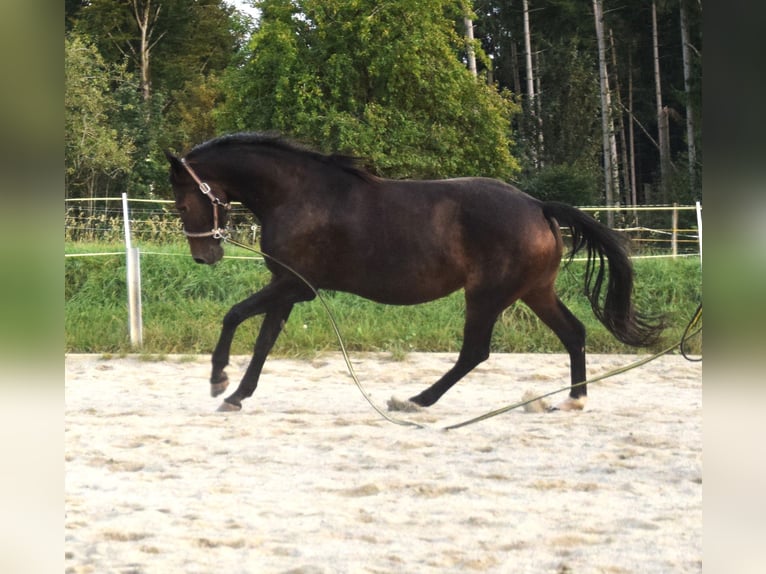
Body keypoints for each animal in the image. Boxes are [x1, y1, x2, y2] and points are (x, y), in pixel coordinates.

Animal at [164, 132, 663, 413]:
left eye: (182, 203)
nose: (205, 256)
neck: (297, 195)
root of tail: (538, 205)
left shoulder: (294, 285)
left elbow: (234, 315)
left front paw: (218, 380)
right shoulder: (287, 287)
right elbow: (264, 341)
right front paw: (237, 395)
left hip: (486, 296)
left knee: (475, 352)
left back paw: (414, 401)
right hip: (533, 291)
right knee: (573, 333)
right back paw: (576, 399)